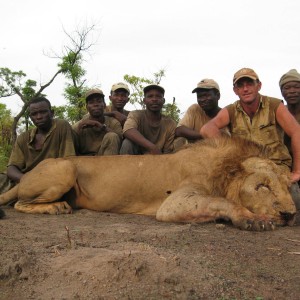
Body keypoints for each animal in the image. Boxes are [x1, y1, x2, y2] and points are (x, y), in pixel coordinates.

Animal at [0, 137, 296, 231]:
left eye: (287, 185)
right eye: (262, 186)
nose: (290, 214)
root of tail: (27, 175)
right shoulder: (172, 203)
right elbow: (221, 201)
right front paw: (254, 219)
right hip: (65, 168)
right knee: (19, 203)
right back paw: (56, 207)